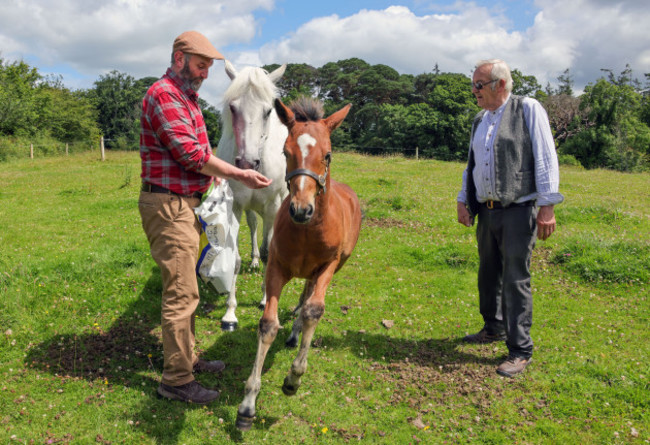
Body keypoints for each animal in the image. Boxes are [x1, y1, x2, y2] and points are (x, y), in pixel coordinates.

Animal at [214, 59, 288, 330]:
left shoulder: (272, 206)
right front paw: (230, 313)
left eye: (268, 111)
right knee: (254, 226)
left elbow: (269, 254)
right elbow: (235, 258)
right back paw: (254, 260)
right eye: (233, 108)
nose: (247, 163)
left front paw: (266, 299)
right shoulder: (235, 207)